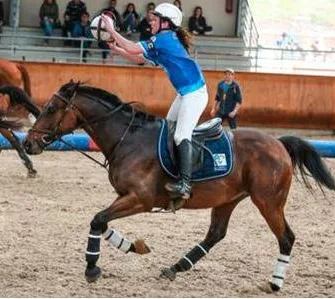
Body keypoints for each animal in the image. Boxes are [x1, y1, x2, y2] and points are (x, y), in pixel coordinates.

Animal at [23, 82, 335, 292]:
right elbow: (101, 222)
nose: (28, 143)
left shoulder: (140, 199)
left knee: (286, 238)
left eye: (51, 109)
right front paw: (134, 246)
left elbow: (98, 219)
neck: (126, 139)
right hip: (228, 199)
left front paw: (92, 267)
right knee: (215, 234)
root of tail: (278, 143)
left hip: (268, 201)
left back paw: (274, 283)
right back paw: (177, 267)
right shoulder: (125, 197)